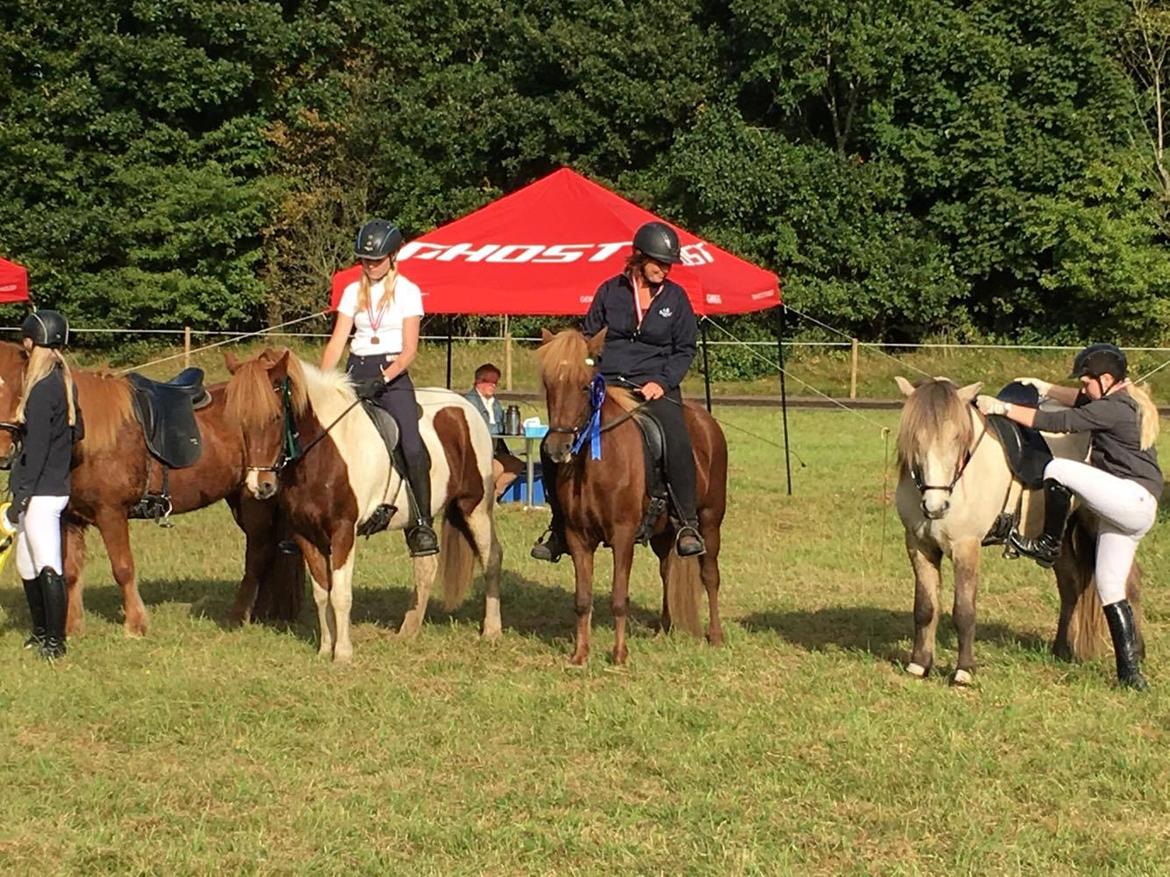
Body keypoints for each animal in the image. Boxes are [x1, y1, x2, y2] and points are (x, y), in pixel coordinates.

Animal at [0, 339, 306, 636]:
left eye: (17, 389)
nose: (4, 453)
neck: (88, 439)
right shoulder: (70, 518)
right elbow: (72, 571)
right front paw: (73, 627)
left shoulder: (111, 513)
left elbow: (122, 568)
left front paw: (135, 625)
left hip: (255, 501)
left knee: (257, 556)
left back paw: (238, 615)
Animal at [223, 346, 503, 664]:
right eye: (238, 421)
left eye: (275, 417)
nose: (261, 486)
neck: (323, 451)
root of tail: (464, 407)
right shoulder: (306, 535)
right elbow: (322, 594)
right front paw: (325, 649)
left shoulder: (343, 530)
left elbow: (340, 594)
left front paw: (343, 654)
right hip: (420, 517)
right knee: (426, 565)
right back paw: (408, 631)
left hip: (475, 506)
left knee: (491, 557)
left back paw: (491, 630)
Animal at [535, 329, 725, 664]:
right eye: (549, 384)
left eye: (585, 385)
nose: (557, 449)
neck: (594, 462)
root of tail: (707, 421)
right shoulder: (577, 536)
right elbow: (582, 598)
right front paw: (580, 655)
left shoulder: (622, 535)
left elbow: (618, 596)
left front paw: (619, 655)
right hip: (664, 532)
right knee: (666, 570)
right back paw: (664, 629)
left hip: (710, 521)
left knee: (710, 575)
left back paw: (714, 636)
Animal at [889, 378, 1137, 687]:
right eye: (914, 439)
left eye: (958, 438)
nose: (936, 507)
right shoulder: (919, 545)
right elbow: (925, 607)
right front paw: (920, 664)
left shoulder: (965, 547)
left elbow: (964, 611)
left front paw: (964, 670)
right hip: (1061, 538)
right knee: (1070, 587)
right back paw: (1060, 650)